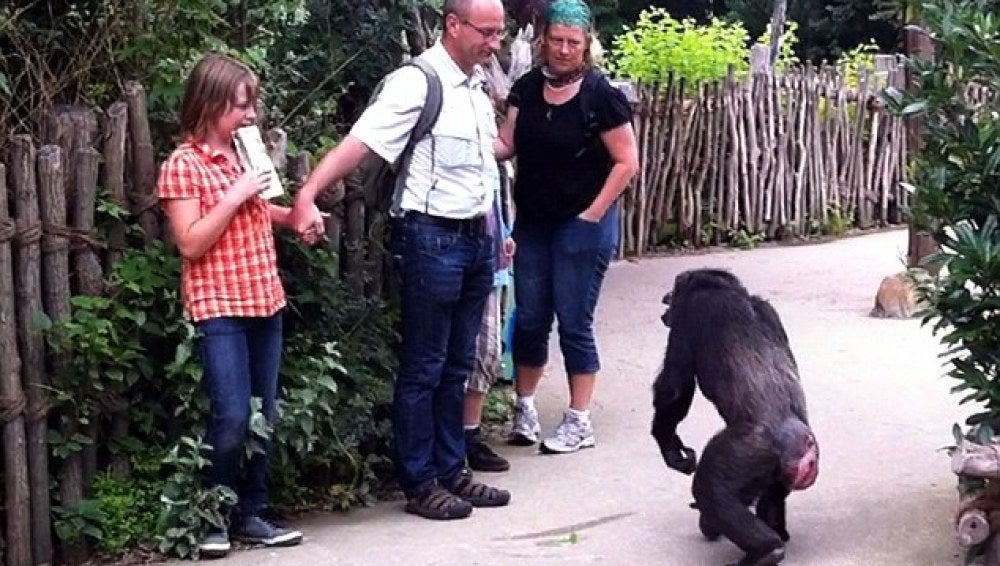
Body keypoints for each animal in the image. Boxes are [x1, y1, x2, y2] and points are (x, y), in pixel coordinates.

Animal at [648, 270, 820, 566]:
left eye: (675, 290)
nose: (666, 298)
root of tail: (804, 446)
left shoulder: (690, 314)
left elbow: (675, 388)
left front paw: (669, 448)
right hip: (781, 471)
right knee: (771, 495)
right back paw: (775, 534)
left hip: (745, 453)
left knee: (712, 489)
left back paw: (765, 549)